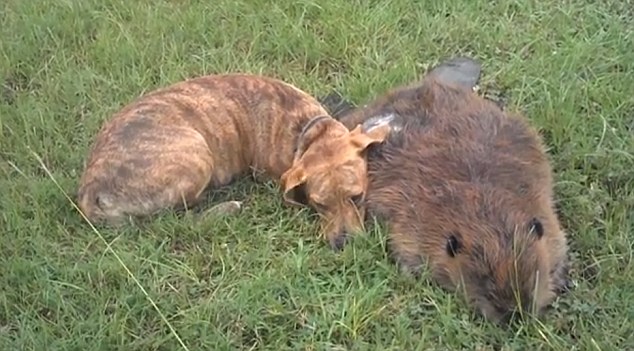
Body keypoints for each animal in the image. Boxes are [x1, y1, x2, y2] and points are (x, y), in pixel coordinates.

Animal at [318, 57, 572, 324]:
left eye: (533, 274)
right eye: (485, 280)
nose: (513, 313)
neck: (481, 201)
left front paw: (560, 278)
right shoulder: (410, 218)